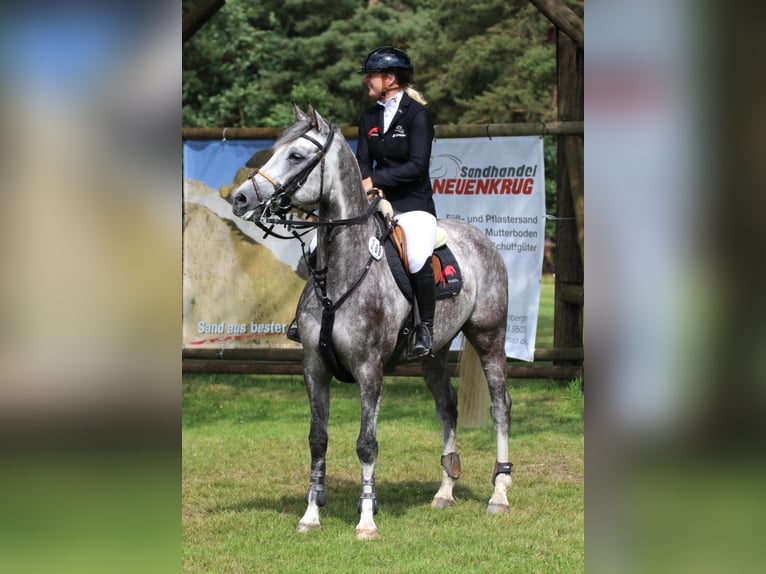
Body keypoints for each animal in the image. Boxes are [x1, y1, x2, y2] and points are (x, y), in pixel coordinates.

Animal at [231, 104, 512, 540]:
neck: (341, 270)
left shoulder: (368, 369)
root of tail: (481, 239)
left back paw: (499, 493)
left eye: (295, 156)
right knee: (446, 407)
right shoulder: (314, 368)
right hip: (432, 353)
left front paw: (366, 520)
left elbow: (366, 443)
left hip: (489, 336)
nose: (241, 198)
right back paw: (445, 491)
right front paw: (311, 515)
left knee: (501, 406)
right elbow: (317, 439)